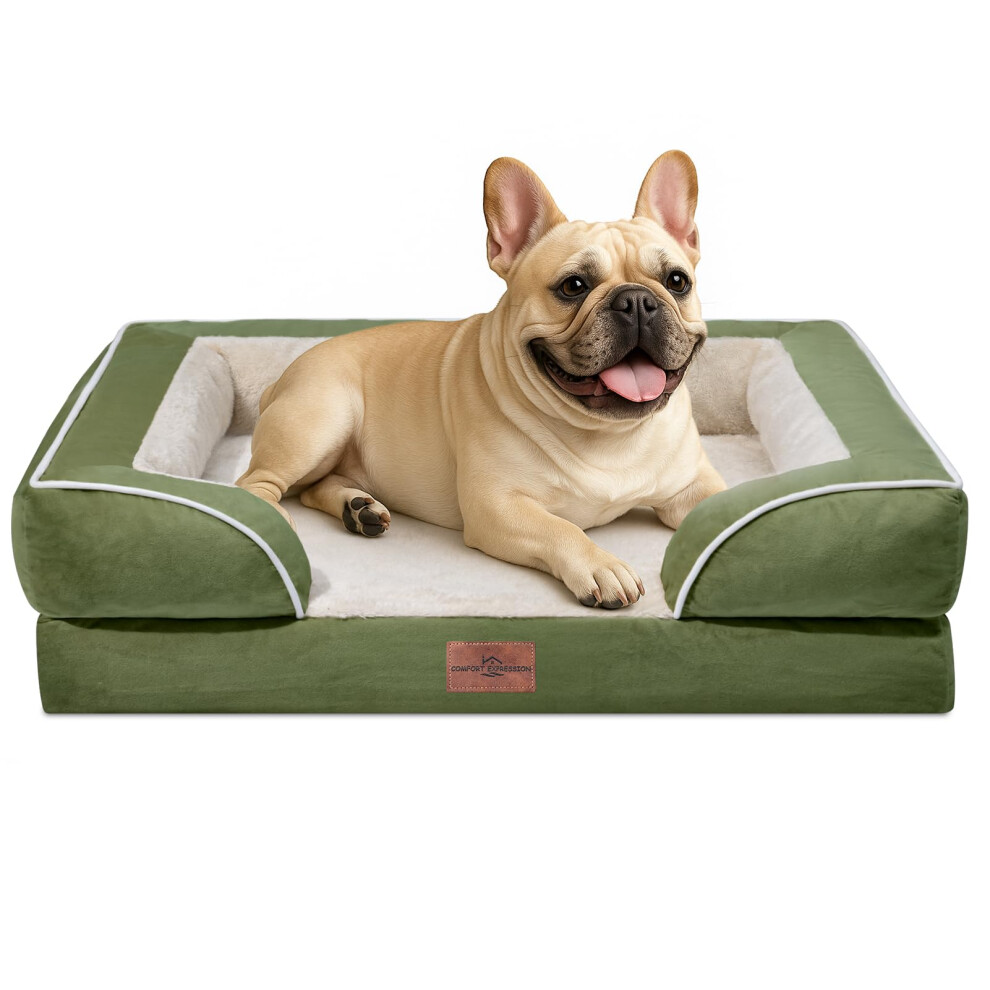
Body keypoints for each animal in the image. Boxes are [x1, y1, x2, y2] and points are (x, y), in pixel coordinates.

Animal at [236, 151, 726, 608]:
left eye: (677, 281)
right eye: (573, 286)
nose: (637, 300)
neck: (608, 434)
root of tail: (282, 379)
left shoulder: (694, 486)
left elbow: (721, 508)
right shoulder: (498, 506)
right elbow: (560, 527)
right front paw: (601, 566)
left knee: (313, 488)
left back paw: (358, 509)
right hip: (321, 419)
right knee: (257, 484)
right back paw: (277, 519)